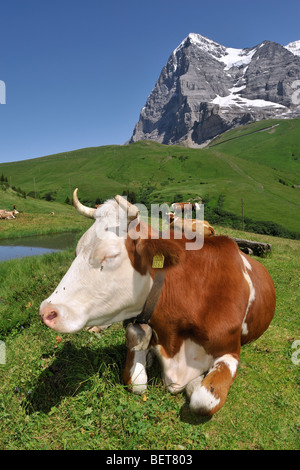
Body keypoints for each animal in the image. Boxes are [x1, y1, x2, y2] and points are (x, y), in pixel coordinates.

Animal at [38, 189, 276, 416]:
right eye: (77, 251)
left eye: (110, 256)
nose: (47, 311)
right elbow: (136, 381)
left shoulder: (230, 351)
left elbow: (202, 400)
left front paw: (195, 381)